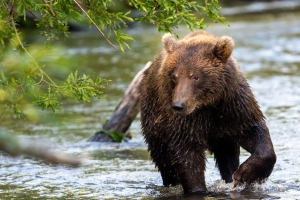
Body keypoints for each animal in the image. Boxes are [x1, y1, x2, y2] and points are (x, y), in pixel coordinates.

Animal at [140, 30, 276, 194]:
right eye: (174, 76)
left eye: (195, 76)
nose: (178, 105)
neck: (209, 103)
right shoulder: (186, 121)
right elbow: (188, 155)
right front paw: (197, 189)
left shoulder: (234, 106)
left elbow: (254, 131)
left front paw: (245, 174)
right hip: (155, 120)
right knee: (164, 160)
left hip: (223, 136)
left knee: (227, 154)